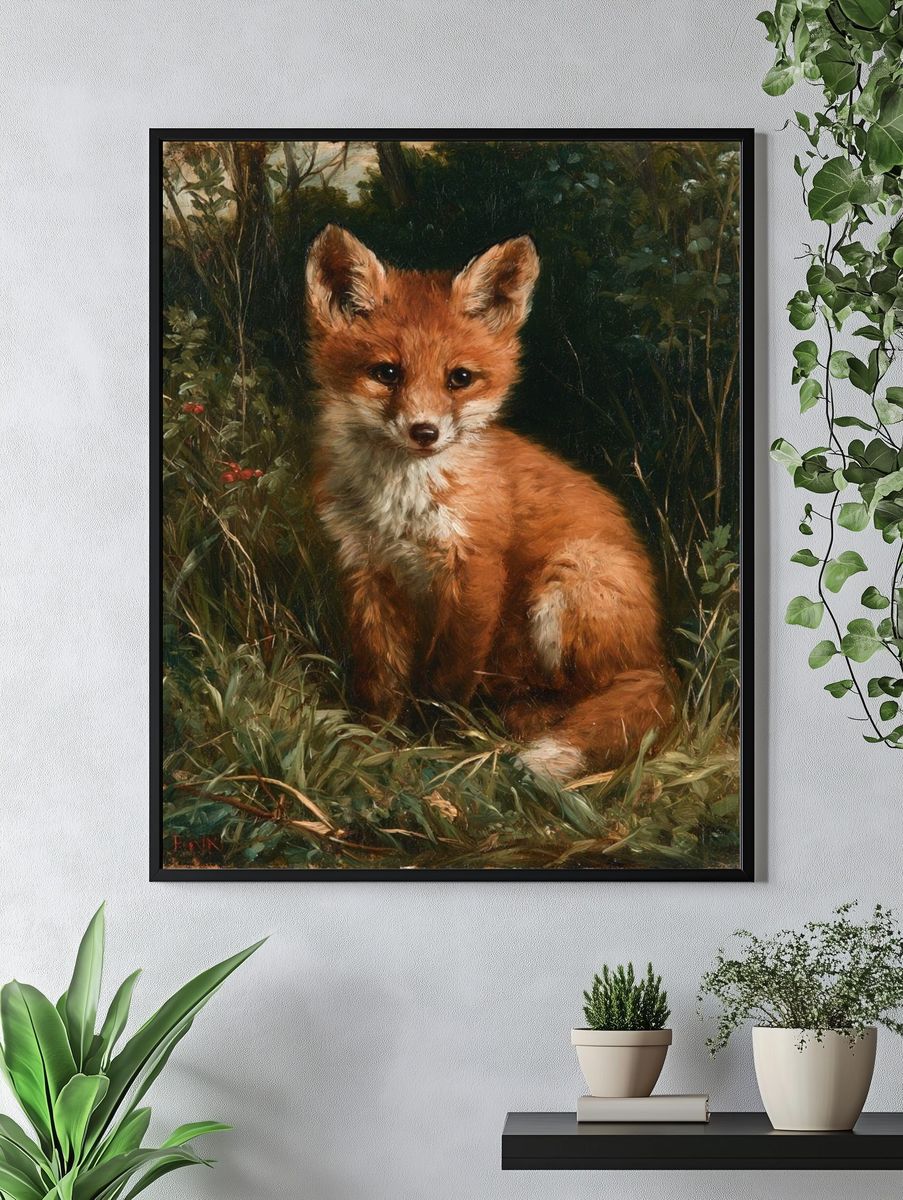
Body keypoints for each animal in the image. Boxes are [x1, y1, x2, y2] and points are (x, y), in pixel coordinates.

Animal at [304, 225, 674, 781]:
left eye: (459, 378)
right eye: (386, 373)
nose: (425, 432)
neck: (401, 505)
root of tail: (657, 656)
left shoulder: (475, 568)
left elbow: (446, 676)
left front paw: (432, 741)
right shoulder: (366, 566)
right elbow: (379, 674)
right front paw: (375, 741)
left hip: (571, 578)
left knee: (588, 692)